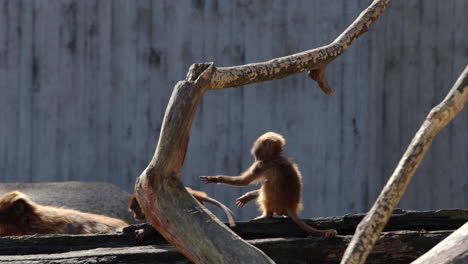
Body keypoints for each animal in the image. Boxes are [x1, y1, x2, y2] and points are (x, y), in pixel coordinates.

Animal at [200, 132, 336, 237]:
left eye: (257, 146)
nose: (253, 150)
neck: (274, 156)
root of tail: (290, 206)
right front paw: (248, 196)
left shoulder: (261, 165)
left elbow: (244, 181)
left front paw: (214, 178)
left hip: (277, 204)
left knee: (267, 185)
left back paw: (267, 216)